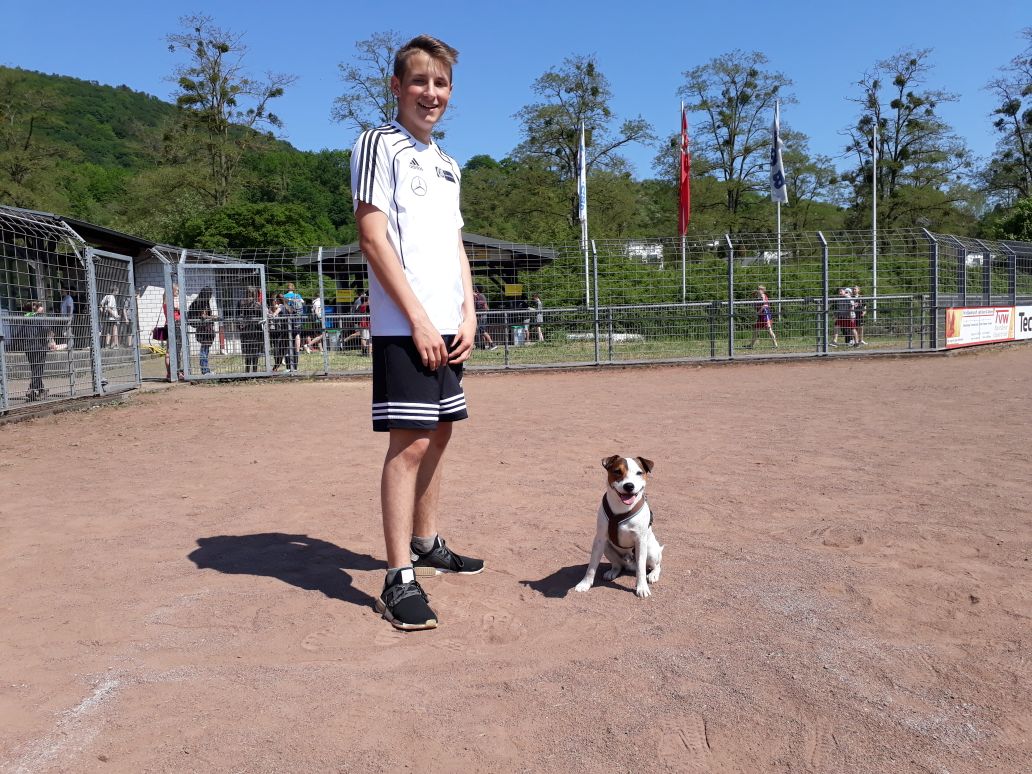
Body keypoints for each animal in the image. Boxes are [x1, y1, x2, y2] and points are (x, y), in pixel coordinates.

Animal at [574, 455, 663, 598]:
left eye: (639, 473)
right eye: (617, 471)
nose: (629, 486)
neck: (622, 508)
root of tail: (630, 564)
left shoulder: (640, 541)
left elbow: (641, 569)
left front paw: (642, 587)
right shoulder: (599, 539)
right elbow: (592, 565)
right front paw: (585, 583)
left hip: (650, 550)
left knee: (656, 565)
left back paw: (653, 575)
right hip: (607, 546)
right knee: (618, 564)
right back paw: (613, 571)